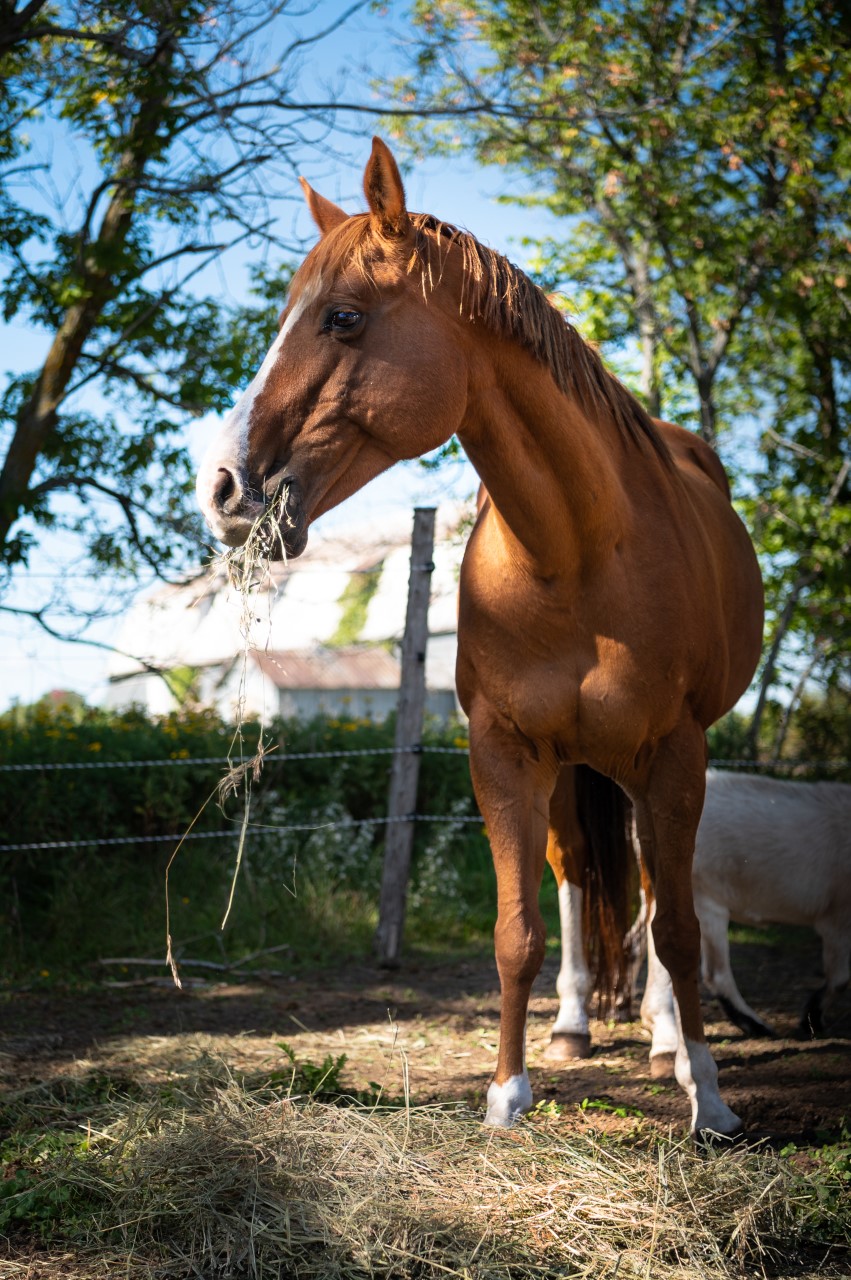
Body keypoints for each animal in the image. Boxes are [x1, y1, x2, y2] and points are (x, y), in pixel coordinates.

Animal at [197, 140, 762, 1141]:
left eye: (343, 318)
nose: (223, 488)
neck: (575, 553)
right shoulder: (503, 752)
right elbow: (515, 931)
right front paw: (506, 1094)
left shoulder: (675, 753)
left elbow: (679, 929)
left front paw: (708, 1099)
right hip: (576, 766)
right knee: (578, 876)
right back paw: (575, 1026)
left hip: (648, 768)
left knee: (655, 895)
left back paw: (664, 1043)